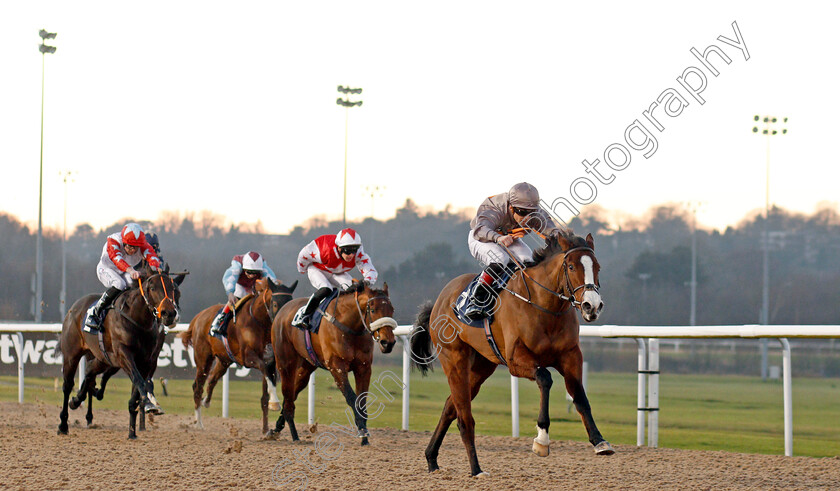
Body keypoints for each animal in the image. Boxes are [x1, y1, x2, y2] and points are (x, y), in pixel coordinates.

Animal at [58, 266, 186, 438]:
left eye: (175, 290)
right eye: (153, 288)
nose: (170, 314)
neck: (137, 319)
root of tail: (74, 307)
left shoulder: (147, 360)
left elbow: (138, 389)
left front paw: (133, 431)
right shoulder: (124, 354)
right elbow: (139, 381)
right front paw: (148, 404)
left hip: (103, 358)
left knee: (90, 372)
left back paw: (77, 401)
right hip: (72, 354)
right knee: (67, 385)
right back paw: (63, 425)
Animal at [179, 278, 296, 436]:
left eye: (290, 302)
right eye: (276, 304)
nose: (283, 321)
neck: (259, 321)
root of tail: (199, 316)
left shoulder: (269, 361)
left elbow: (265, 396)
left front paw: (266, 430)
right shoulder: (248, 357)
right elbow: (263, 371)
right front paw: (275, 403)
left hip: (224, 360)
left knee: (212, 379)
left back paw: (206, 402)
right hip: (203, 359)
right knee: (198, 387)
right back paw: (199, 424)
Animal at [270, 280, 398, 446]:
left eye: (391, 310)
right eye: (373, 309)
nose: (388, 342)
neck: (349, 326)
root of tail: (282, 310)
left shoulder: (363, 368)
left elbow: (361, 401)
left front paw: (365, 438)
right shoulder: (337, 367)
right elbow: (352, 398)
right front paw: (362, 431)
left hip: (306, 366)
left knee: (291, 395)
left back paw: (277, 428)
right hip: (285, 363)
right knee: (287, 394)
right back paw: (294, 435)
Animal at [410, 233, 612, 478]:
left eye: (597, 267)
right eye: (572, 266)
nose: (592, 306)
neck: (544, 306)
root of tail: (440, 301)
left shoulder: (571, 356)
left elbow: (580, 397)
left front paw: (599, 441)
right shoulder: (516, 360)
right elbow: (545, 378)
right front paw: (542, 440)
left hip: (482, 366)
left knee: (450, 406)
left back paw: (432, 459)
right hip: (455, 360)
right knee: (464, 417)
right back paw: (476, 469)